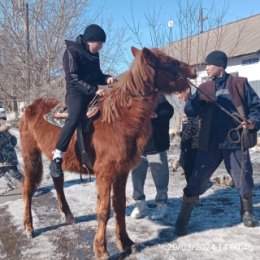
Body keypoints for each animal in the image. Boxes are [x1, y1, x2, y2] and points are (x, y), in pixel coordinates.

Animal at [19, 46, 195, 258]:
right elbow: (104, 210)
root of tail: (29, 107)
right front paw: (101, 250)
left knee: (58, 181)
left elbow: (119, 205)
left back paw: (68, 215)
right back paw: (28, 227)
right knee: (28, 189)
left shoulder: (121, 172)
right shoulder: (105, 173)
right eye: (169, 62)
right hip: (31, 157)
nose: (193, 71)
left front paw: (126, 242)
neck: (119, 120)